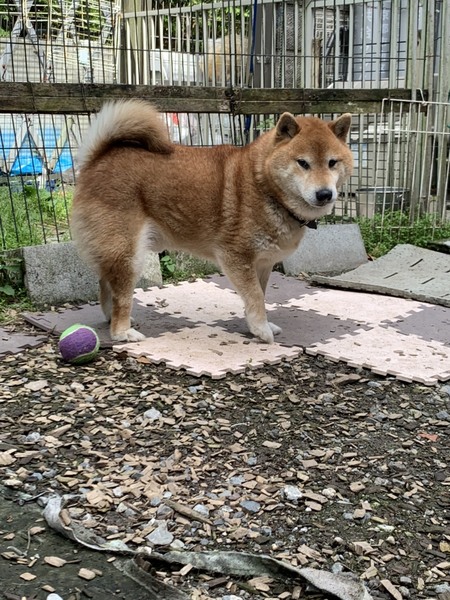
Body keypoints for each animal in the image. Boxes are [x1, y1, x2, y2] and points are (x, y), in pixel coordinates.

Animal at [71, 100, 353, 344]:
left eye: (332, 162)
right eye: (303, 163)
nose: (325, 194)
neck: (264, 185)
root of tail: (98, 158)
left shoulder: (262, 263)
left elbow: (259, 296)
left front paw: (257, 325)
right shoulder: (235, 257)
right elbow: (255, 297)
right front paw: (261, 330)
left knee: (105, 286)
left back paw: (112, 320)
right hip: (131, 254)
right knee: (120, 295)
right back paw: (122, 332)